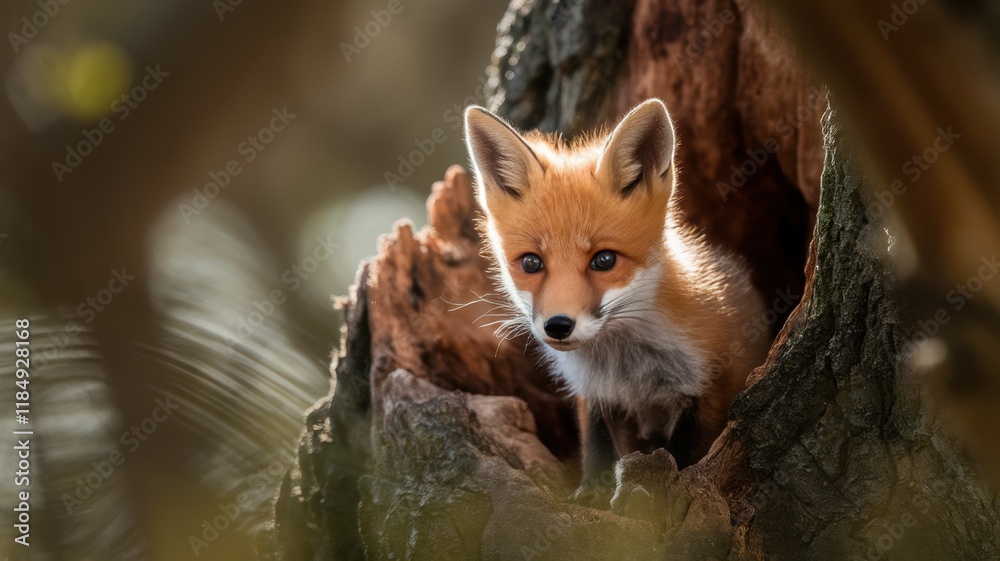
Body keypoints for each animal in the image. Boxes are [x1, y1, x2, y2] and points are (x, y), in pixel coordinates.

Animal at [463, 99, 772, 501]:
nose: (558, 326)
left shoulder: (711, 386)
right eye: (531, 263)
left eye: (604, 260)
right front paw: (591, 492)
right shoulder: (596, 394)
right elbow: (598, 446)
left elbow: (684, 456)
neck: (627, 366)